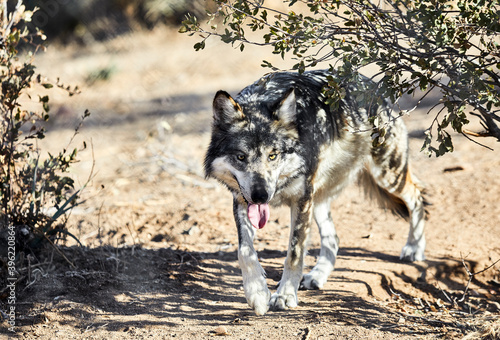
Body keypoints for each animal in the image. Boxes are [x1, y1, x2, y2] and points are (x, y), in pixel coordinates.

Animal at [203, 69, 426, 316]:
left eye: (273, 155)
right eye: (241, 157)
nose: (261, 196)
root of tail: (374, 87)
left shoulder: (301, 200)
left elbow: (294, 253)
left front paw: (285, 295)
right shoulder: (242, 200)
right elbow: (245, 251)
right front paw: (258, 293)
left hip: (387, 175)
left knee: (417, 196)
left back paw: (414, 248)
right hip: (318, 197)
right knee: (333, 238)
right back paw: (317, 276)